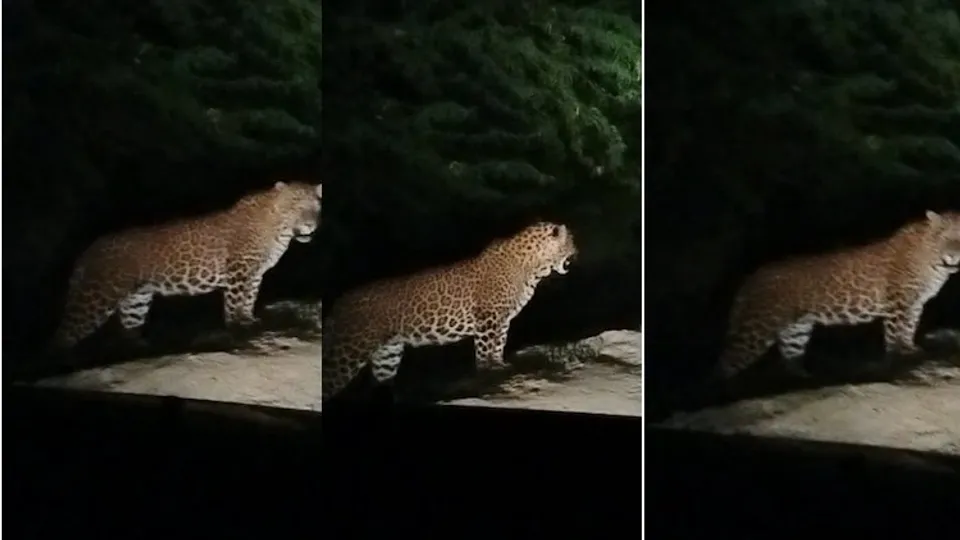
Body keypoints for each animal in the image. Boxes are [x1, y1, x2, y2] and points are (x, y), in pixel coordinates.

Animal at [50, 181, 323, 352]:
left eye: (316, 208)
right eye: (296, 205)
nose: (310, 225)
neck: (280, 230)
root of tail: (89, 249)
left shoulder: (255, 274)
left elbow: (250, 298)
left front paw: (248, 319)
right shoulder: (239, 270)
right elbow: (235, 300)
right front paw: (236, 327)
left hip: (136, 298)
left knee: (129, 327)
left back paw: (140, 349)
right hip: (98, 295)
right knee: (65, 334)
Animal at [321, 221, 578, 403]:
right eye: (571, 242)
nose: (578, 251)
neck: (534, 267)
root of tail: (339, 303)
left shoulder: (502, 320)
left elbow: (499, 344)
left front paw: (499, 365)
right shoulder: (488, 318)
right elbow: (485, 348)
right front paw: (487, 373)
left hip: (387, 354)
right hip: (350, 349)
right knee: (329, 379)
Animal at [712, 209, 960, 383]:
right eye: (945, 237)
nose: (954, 255)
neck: (934, 261)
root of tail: (751, 278)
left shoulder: (915, 303)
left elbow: (909, 328)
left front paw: (910, 350)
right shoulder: (898, 303)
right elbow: (895, 332)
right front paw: (898, 357)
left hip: (796, 329)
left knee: (791, 357)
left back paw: (806, 380)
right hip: (759, 326)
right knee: (727, 360)